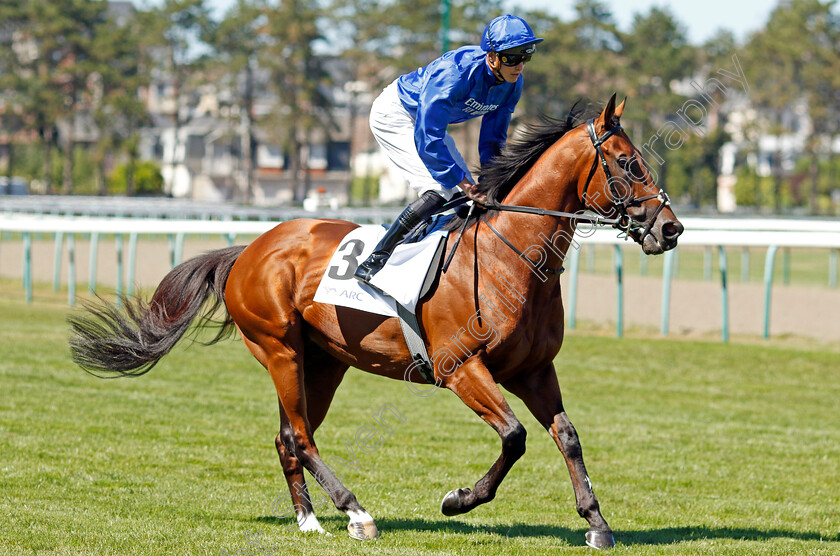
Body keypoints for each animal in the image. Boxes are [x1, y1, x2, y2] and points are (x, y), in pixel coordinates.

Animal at [67, 94, 684, 548]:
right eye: (628, 163)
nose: (671, 228)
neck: (510, 255)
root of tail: (250, 249)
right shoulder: (459, 367)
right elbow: (514, 437)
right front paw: (458, 499)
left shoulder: (534, 370)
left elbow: (568, 437)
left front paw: (597, 523)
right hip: (279, 348)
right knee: (300, 436)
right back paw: (356, 513)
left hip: (323, 362)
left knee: (289, 436)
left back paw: (310, 520)